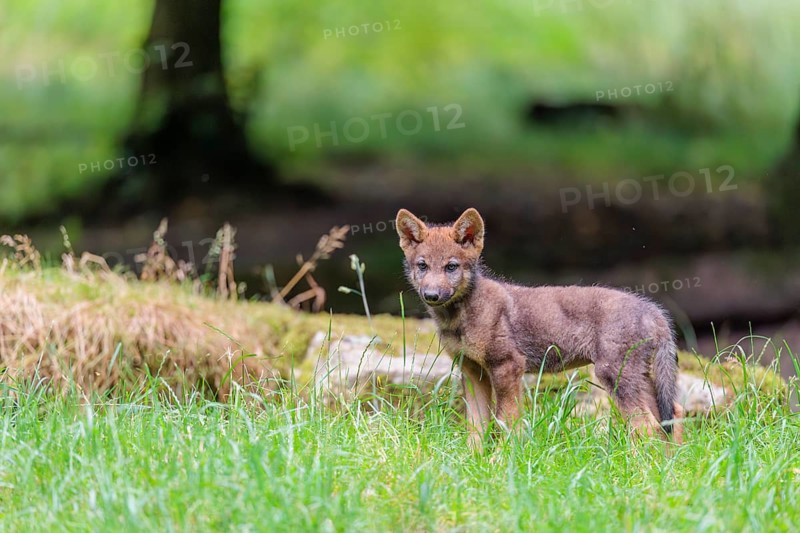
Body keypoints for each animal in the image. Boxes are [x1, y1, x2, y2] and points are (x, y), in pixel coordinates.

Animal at [395, 207, 683, 449]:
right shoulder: (471, 370)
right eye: (423, 265)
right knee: (671, 415)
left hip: (615, 375)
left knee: (645, 425)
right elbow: (476, 428)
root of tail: (653, 310)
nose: (431, 295)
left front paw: (501, 460)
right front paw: (472, 463)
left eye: (451, 266)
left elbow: (507, 422)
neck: (459, 321)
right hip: (638, 377)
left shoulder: (508, 366)